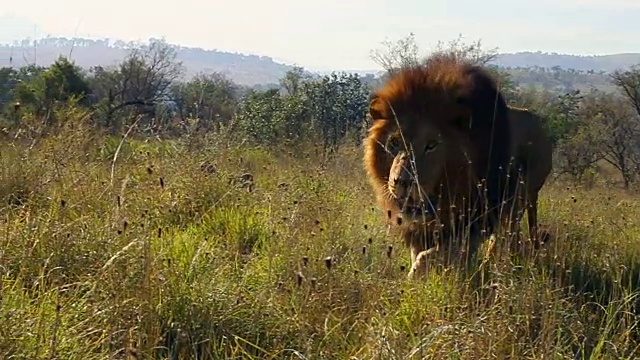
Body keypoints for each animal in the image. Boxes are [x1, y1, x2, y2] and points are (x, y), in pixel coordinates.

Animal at [360, 52, 520, 278]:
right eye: (394, 142)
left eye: (431, 145)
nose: (402, 182)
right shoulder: (417, 229)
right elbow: (419, 253)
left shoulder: (472, 223)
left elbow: (432, 255)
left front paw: (415, 277)